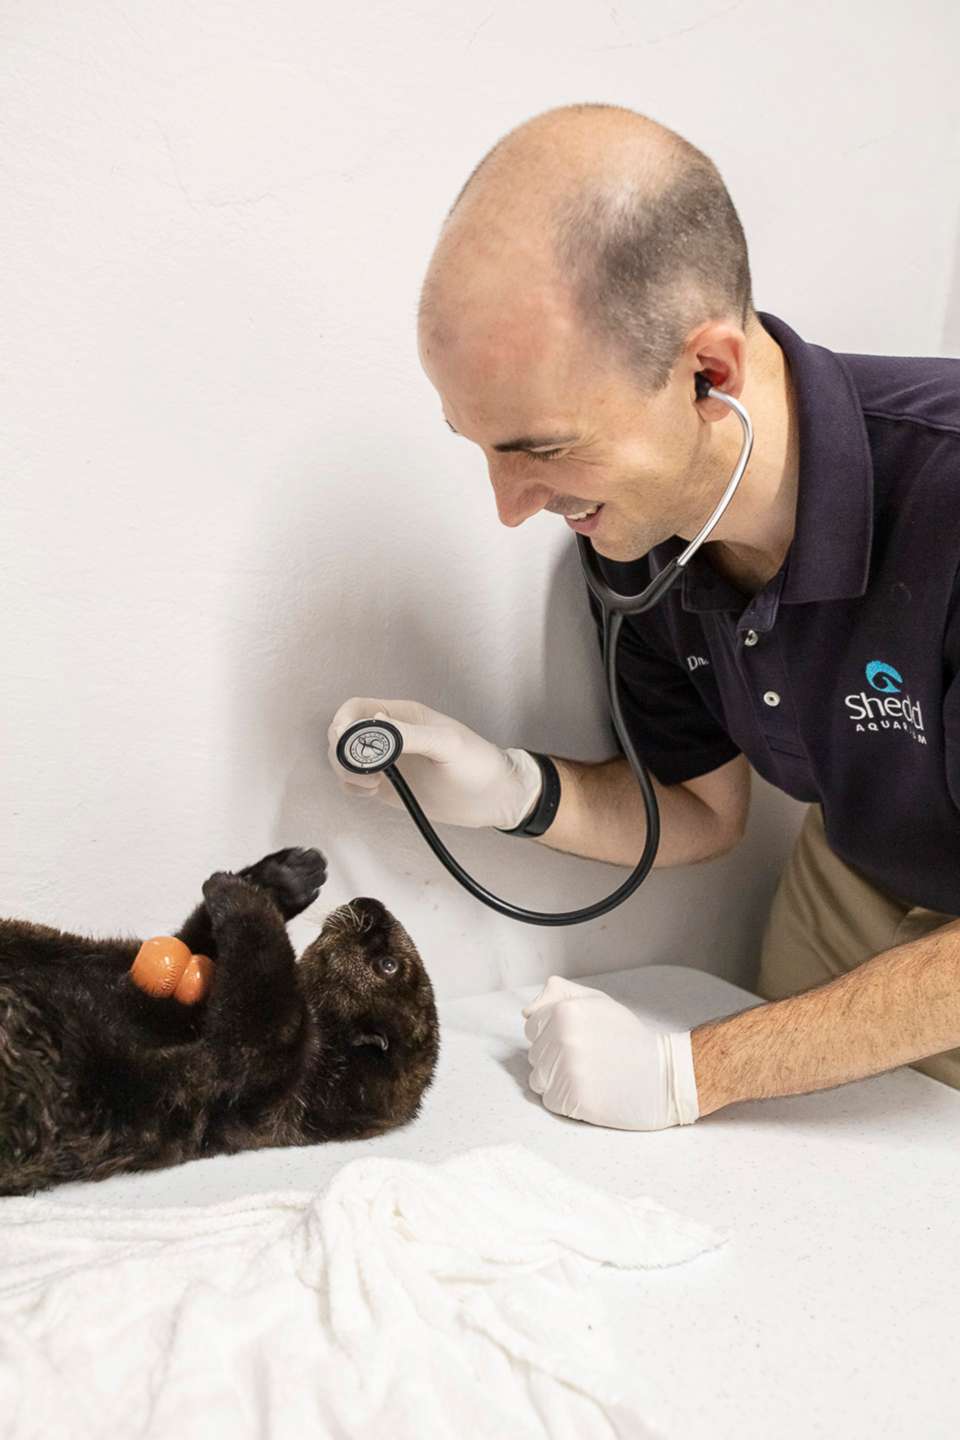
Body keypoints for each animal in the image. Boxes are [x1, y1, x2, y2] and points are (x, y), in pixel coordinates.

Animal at [0, 846, 440, 1198]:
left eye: (388, 965)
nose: (371, 903)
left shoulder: (263, 1076)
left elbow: (258, 1005)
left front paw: (238, 894)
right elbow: (189, 943)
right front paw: (286, 875)